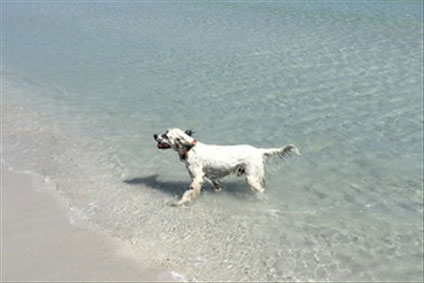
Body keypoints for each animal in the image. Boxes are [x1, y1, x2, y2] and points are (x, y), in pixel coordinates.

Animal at [154, 129, 300, 206]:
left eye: (165, 135)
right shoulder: (209, 177)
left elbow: (188, 192)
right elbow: (216, 185)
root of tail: (259, 151)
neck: (190, 148)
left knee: (261, 190)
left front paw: (179, 203)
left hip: (251, 178)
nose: (155, 135)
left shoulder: (196, 178)